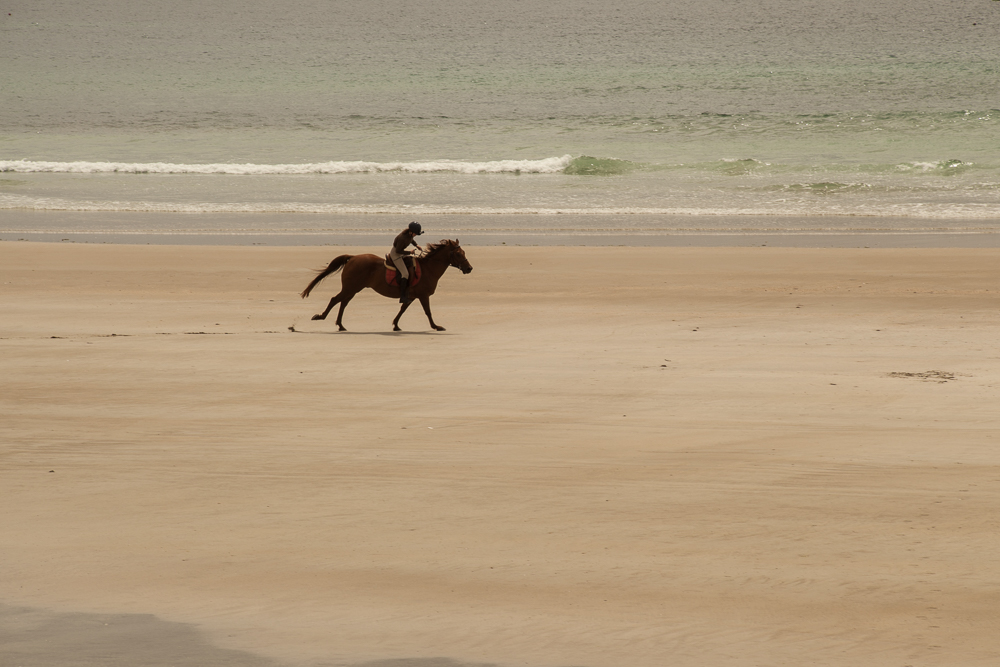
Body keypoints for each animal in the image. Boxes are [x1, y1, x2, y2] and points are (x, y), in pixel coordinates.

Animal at [298, 241, 474, 332]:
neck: (428, 268)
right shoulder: (423, 296)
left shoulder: (411, 296)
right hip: (350, 288)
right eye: (458, 254)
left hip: (353, 289)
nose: (469, 268)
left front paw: (395, 325)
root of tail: (353, 257)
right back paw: (321, 317)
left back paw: (340, 325)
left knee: (343, 302)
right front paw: (436, 326)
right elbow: (428, 312)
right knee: (335, 299)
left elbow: (402, 310)